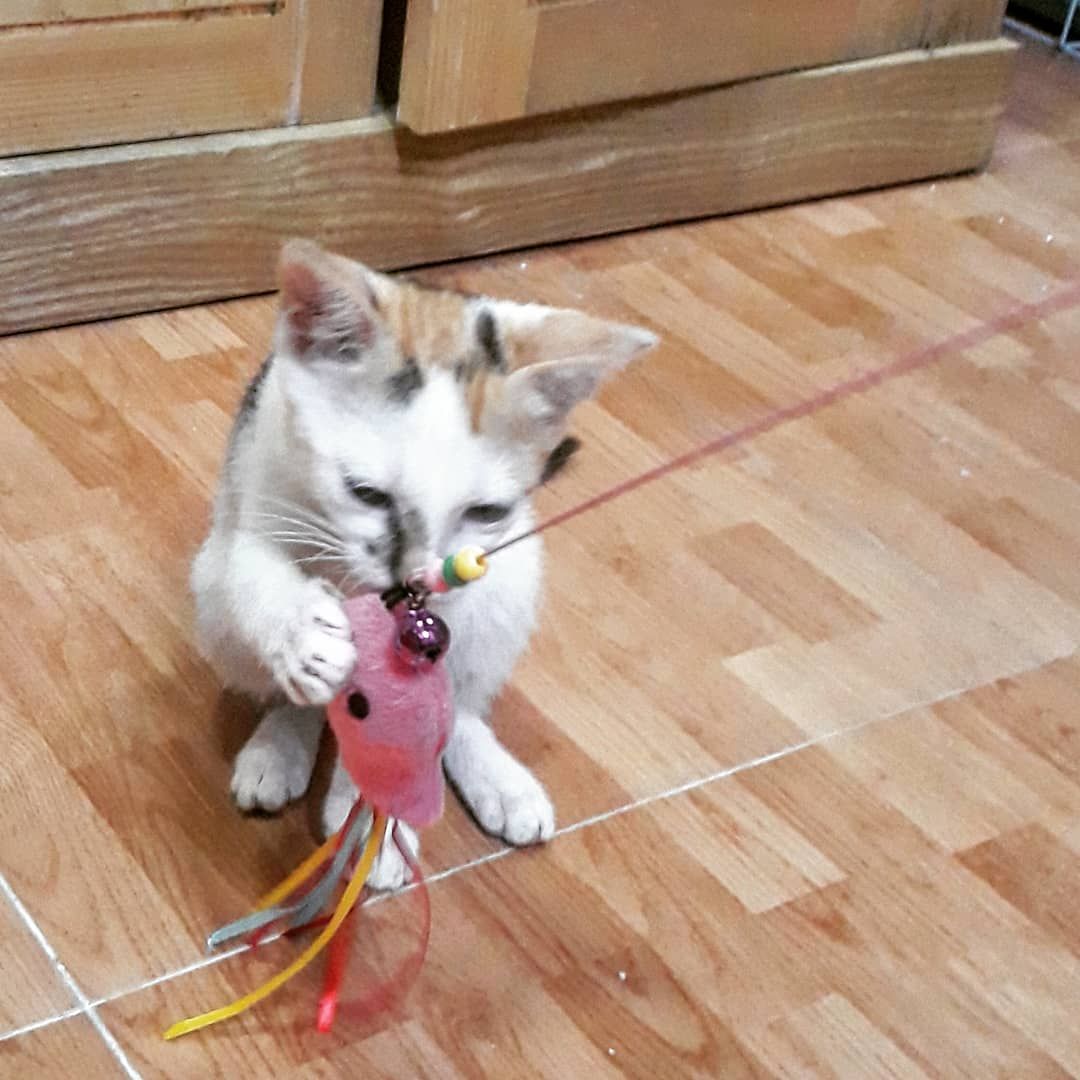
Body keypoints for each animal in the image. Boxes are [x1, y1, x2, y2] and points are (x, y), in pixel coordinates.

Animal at [191, 239, 657, 888]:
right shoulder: (256, 489)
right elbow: (255, 572)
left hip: (514, 583)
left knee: (455, 700)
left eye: (487, 512)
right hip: (209, 601)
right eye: (364, 493)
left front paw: (373, 826)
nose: (412, 579)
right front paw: (304, 637)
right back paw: (280, 743)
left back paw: (490, 779)